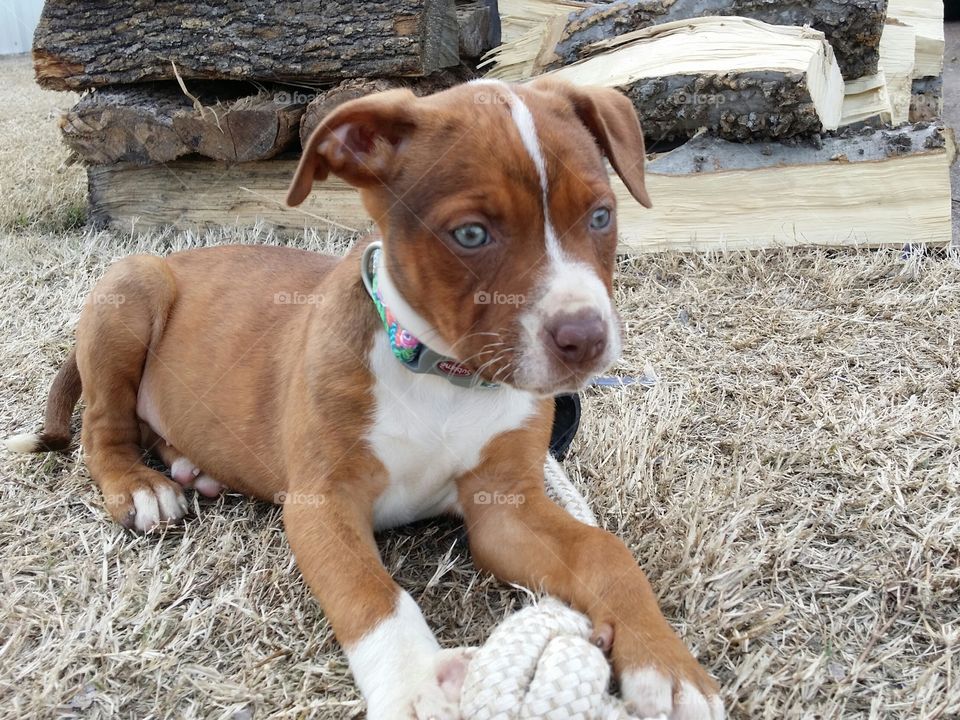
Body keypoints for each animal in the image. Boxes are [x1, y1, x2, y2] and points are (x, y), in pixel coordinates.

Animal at [7, 80, 724, 720]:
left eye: (601, 216)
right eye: (470, 235)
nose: (585, 337)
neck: (444, 377)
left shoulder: (506, 506)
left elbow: (607, 552)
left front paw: (667, 667)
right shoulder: (323, 502)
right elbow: (375, 596)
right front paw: (415, 686)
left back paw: (191, 464)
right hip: (132, 286)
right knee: (103, 422)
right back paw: (141, 485)